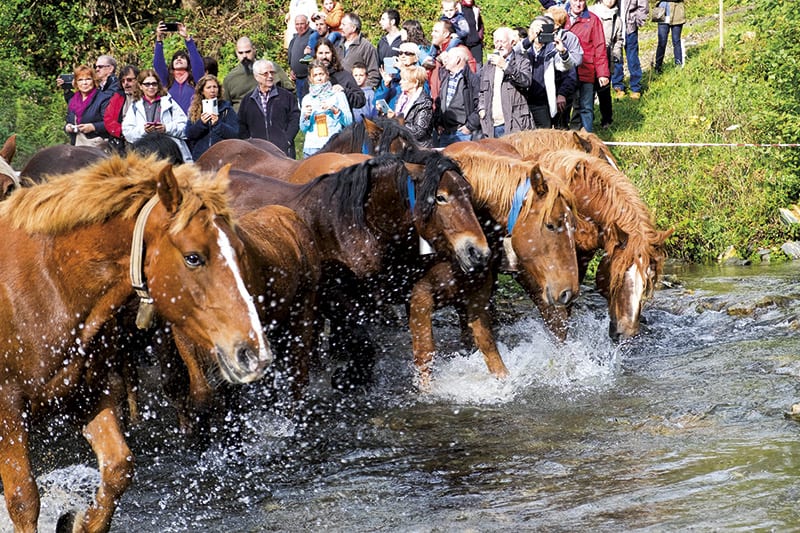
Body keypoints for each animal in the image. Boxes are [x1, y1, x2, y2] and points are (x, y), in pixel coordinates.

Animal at [0, 153, 271, 532]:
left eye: (240, 250)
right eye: (193, 257)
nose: (253, 351)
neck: (49, 282)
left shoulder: (90, 394)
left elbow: (119, 468)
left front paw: (79, 521)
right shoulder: (8, 415)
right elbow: (24, 499)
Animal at [403, 142, 580, 388]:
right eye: (551, 225)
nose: (569, 291)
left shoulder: (479, 292)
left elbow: (490, 350)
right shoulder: (420, 299)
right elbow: (425, 359)